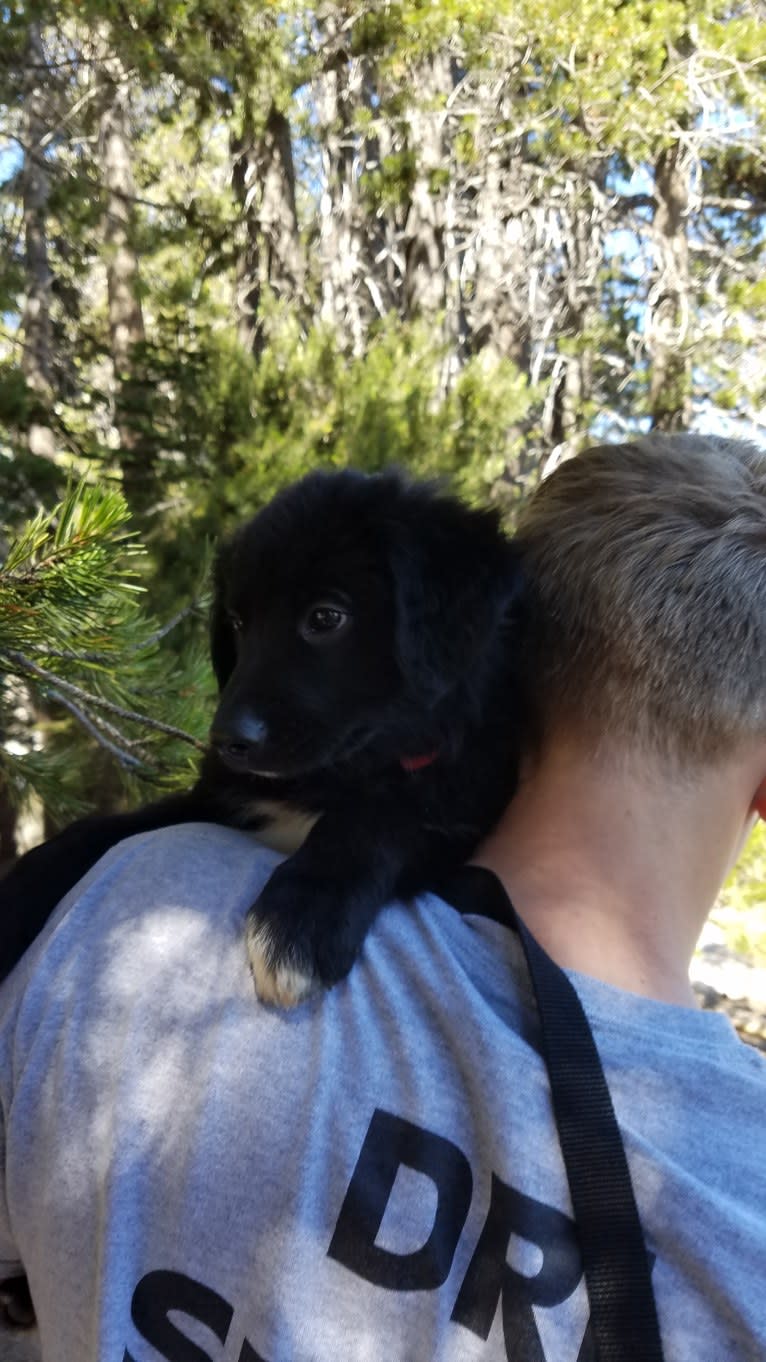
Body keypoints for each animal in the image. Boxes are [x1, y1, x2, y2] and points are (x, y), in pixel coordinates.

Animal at [0, 473, 523, 1007]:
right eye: (235, 623)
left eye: (326, 618)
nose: (227, 741)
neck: (328, 782)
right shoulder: (217, 797)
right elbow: (102, 829)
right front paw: (20, 892)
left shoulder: (459, 820)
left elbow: (380, 820)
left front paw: (302, 917)